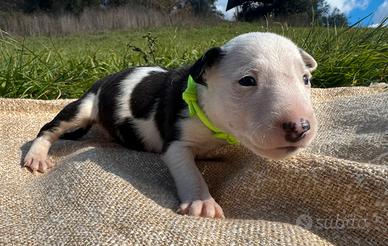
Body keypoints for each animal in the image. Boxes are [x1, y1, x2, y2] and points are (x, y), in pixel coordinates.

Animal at [22, 32, 316, 219]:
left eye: (306, 79)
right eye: (247, 81)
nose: (300, 126)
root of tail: (105, 79)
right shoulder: (176, 142)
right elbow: (189, 171)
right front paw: (202, 202)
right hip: (83, 107)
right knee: (49, 128)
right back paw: (37, 156)